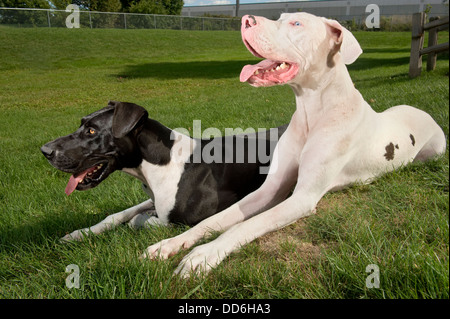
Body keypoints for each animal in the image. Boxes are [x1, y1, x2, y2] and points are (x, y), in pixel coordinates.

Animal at [43, 101, 288, 241]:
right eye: (81, 124)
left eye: (92, 131)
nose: (45, 150)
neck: (161, 161)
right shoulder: (155, 197)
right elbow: (118, 215)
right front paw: (80, 233)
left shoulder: (200, 216)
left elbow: (141, 221)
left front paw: (143, 219)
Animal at [142, 12, 446, 278]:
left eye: (297, 23)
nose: (246, 19)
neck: (312, 110)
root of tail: (423, 111)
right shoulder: (269, 190)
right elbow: (214, 220)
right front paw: (170, 244)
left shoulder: (302, 198)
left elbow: (244, 226)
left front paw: (203, 255)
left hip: (436, 150)